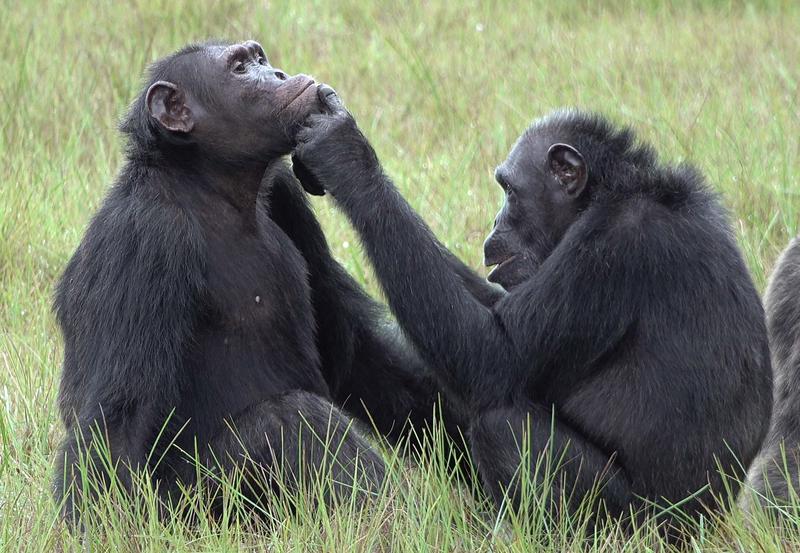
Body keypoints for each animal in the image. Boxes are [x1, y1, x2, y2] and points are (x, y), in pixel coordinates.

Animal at [53, 41, 462, 524]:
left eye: (259, 58)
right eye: (240, 68)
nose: (279, 74)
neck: (211, 186)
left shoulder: (286, 194)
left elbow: (354, 353)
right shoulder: (143, 238)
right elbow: (118, 419)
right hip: (193, 511)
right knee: (291, 420)